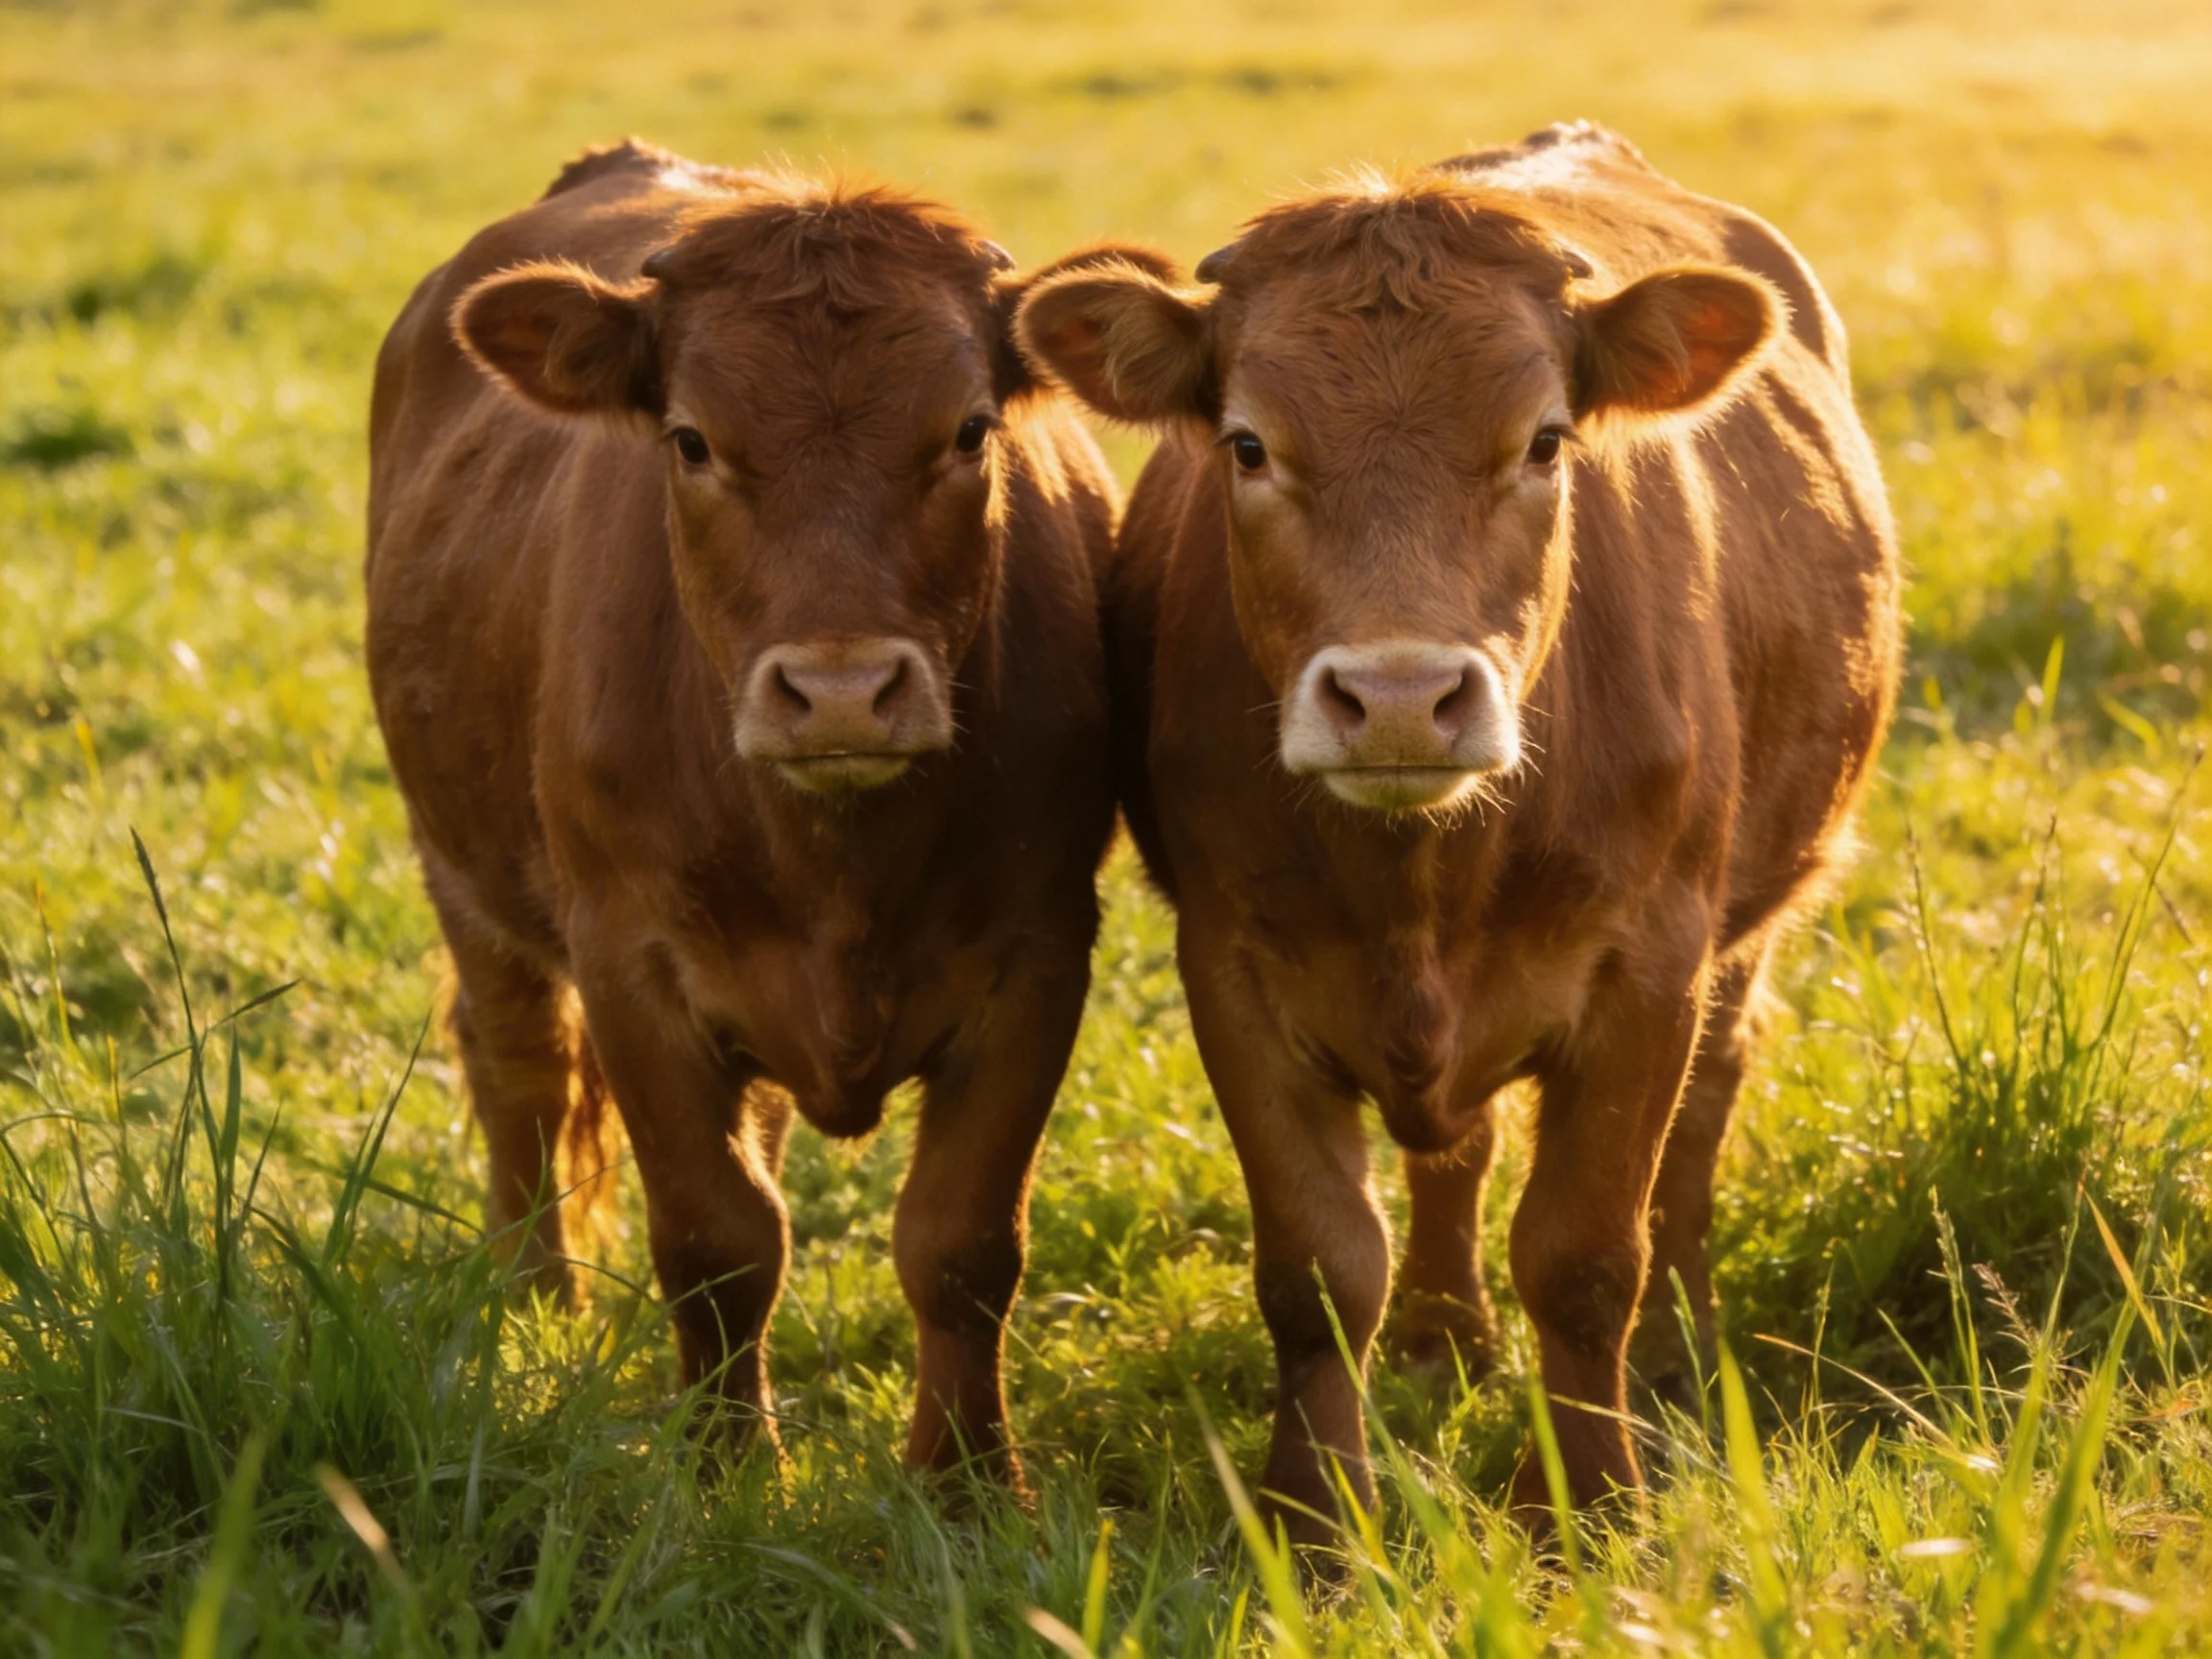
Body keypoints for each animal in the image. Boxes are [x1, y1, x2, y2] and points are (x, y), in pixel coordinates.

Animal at [365, 139, 1131, 1487]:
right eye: (690, 440)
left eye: (969, 430)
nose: (840, 690)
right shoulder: (631, 963)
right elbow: (718, 1240)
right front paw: (728, 1467)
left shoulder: (1039, 957)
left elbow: (961, 1243)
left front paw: (966, 1480)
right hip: (463, 871)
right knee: (519, 1068)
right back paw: (532, 1300)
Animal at [1015, 121, 1900, 1535]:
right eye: (1247, 446)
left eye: (1544, 441)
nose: (1397, 698)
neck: (1422, 869)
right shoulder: (1232, 967)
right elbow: (1320, 1270)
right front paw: (1316, 1522)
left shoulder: (1651, 964)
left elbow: (1585, 1255)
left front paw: (1586, 1508)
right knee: (1456, 1153)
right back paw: (1441, 1341)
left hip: (1749, 922)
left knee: (1705, 1112)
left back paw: (1679, 1352)